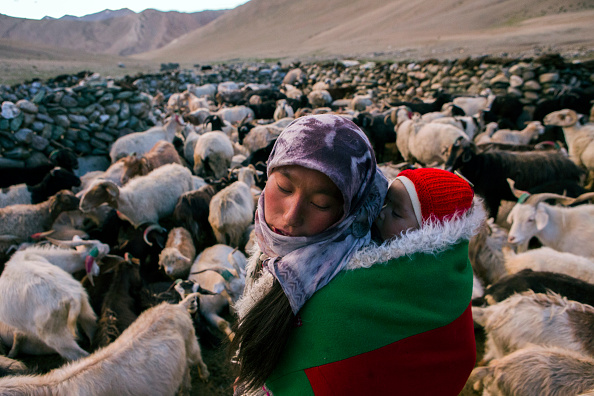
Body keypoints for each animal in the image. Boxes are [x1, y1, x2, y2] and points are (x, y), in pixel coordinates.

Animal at [0, 292, 208, 394]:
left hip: (191, 342)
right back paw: (184, 391)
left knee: (198, 359)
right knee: (184, 370)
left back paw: (204, 376)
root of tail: (176, 306)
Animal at [444, 138, 584, 218]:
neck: (481, 165)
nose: (448, 166)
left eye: (464, 154)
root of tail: (572, 165)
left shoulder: (492, 198)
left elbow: (492, 216)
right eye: (449, 151)